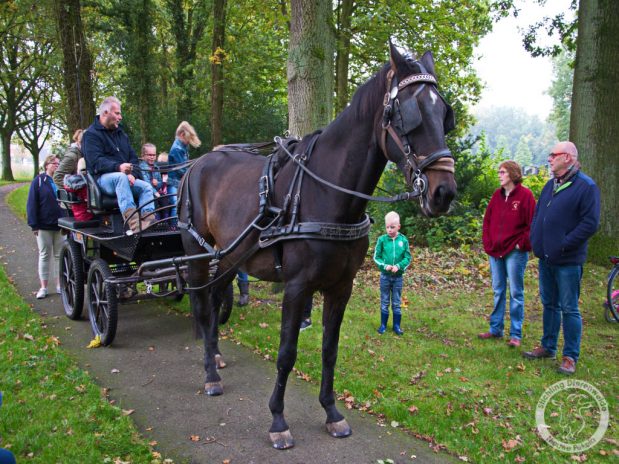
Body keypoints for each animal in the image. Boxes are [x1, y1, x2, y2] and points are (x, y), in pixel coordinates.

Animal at [177, 43, 458, 450]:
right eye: (410, 114)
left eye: (443, 114)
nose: (444, 192)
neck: (325, 192)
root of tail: (198, 163)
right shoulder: (296, 288)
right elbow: (286, 353)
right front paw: (278, 420)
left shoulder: (341, 288)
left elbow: (329, 350)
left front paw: (331, 411)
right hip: (198, 252)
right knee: (201, 305)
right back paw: (209, 373)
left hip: (230, 255)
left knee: (215, 299)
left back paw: (215, 356)